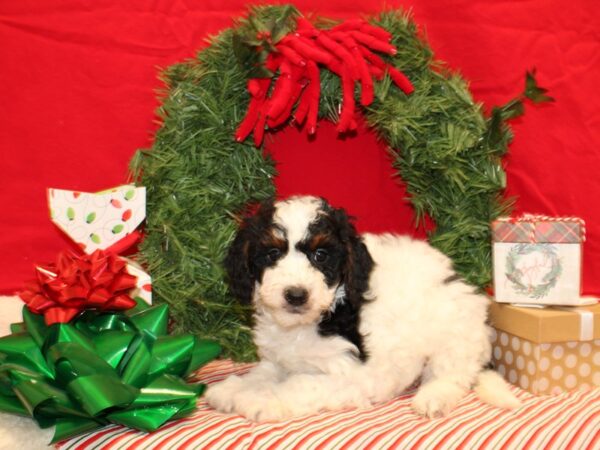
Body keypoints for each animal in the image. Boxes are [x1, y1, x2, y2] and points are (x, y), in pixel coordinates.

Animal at [205, 196, 516, 422]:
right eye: (272, 253)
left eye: (321, 255)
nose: (296, 295)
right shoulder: (279, 359)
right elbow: (263, 373)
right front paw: (233, 389)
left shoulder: (350, 372)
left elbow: (300, 384)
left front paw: (263, 400)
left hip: (454, 329)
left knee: (453, 373)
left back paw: (433, 397)